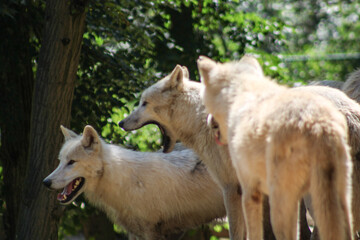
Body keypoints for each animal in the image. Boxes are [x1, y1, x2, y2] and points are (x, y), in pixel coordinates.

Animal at [42, 125, 225, 240]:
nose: (45, 182)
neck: (124, 181)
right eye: (60, 161)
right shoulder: (135, 232)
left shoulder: (150, 232)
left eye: (72, 162)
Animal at [197, 54, 352, 240]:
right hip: (337, 200)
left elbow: (253, 234)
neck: (242, 95)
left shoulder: (249, 190)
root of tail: (318, 125)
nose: (209, 122)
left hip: (284, 205)